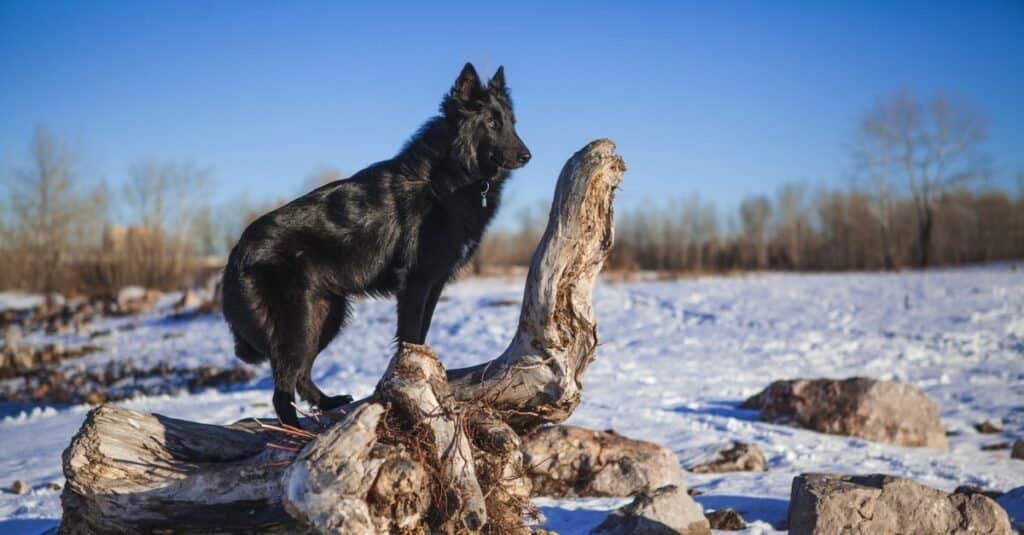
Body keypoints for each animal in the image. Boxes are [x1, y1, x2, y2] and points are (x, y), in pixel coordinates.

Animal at [221, 63, 532, 424]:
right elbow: (411, 335)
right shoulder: (416, 282)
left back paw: (328, 403)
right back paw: (293, 429)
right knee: (282, 388)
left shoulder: (435, 281)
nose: (527, 155)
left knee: (300, 373)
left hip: (325, 315)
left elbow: (421, 336)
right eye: (493, 124)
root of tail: (236, 254)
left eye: (512, 123)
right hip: (298, 322)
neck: (450, 176)